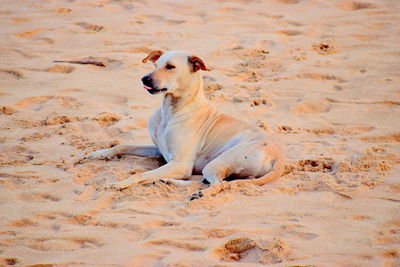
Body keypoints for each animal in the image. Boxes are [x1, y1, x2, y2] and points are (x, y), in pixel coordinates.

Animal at [84, 50, 284, 201]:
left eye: (170, 67)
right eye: (155, 66)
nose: (144, 79)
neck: (170, 111)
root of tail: (279, 157)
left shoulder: (180, 164)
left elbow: (140, 174)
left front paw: (119, 184)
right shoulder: (160, 150)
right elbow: (123, 145)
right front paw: (98, 154)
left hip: (217, 162)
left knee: (218, 184)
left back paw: (200, 194)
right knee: (205, 181)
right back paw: (171, 182)